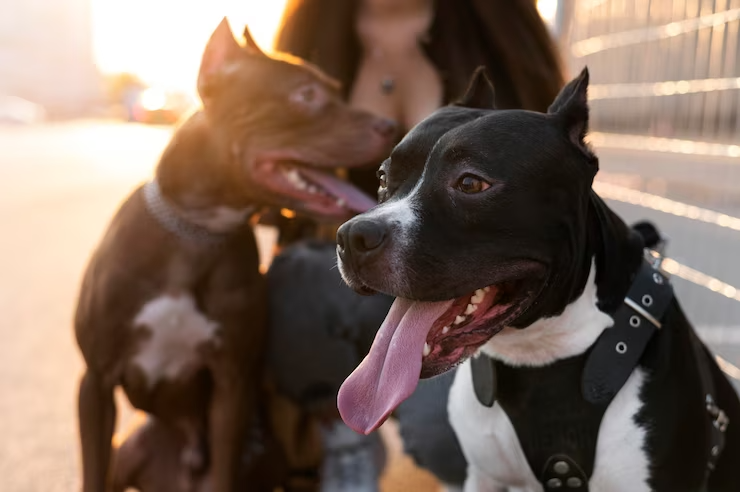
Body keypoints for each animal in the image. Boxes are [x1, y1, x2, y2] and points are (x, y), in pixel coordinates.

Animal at [75, 19, 396, 492]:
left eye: (337, 90)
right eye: (305, 95)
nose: (391, 125)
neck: (196, 233)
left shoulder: (232, 383)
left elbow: (224, 467)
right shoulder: (95, 382)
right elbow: (91, 471)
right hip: (128, 447)